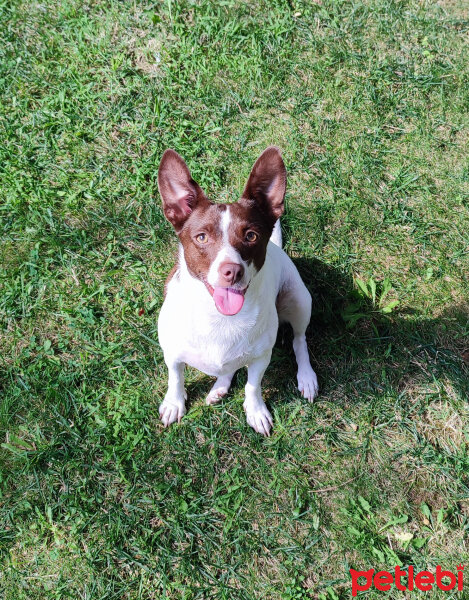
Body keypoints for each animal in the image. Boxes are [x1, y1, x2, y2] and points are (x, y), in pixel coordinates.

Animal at [157, 146, 318, 436]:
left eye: (251, 236)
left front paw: (256, 411)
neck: (218, 318)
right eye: (201, 237)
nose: (232, 271)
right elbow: (175, 377)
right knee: (228, 367)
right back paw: (219, 387)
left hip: (299, 299)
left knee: (299, 339)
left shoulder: (261, 358)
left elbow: (253, 386)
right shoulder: (172, 353)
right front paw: (174, 404)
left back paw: (307, 377)